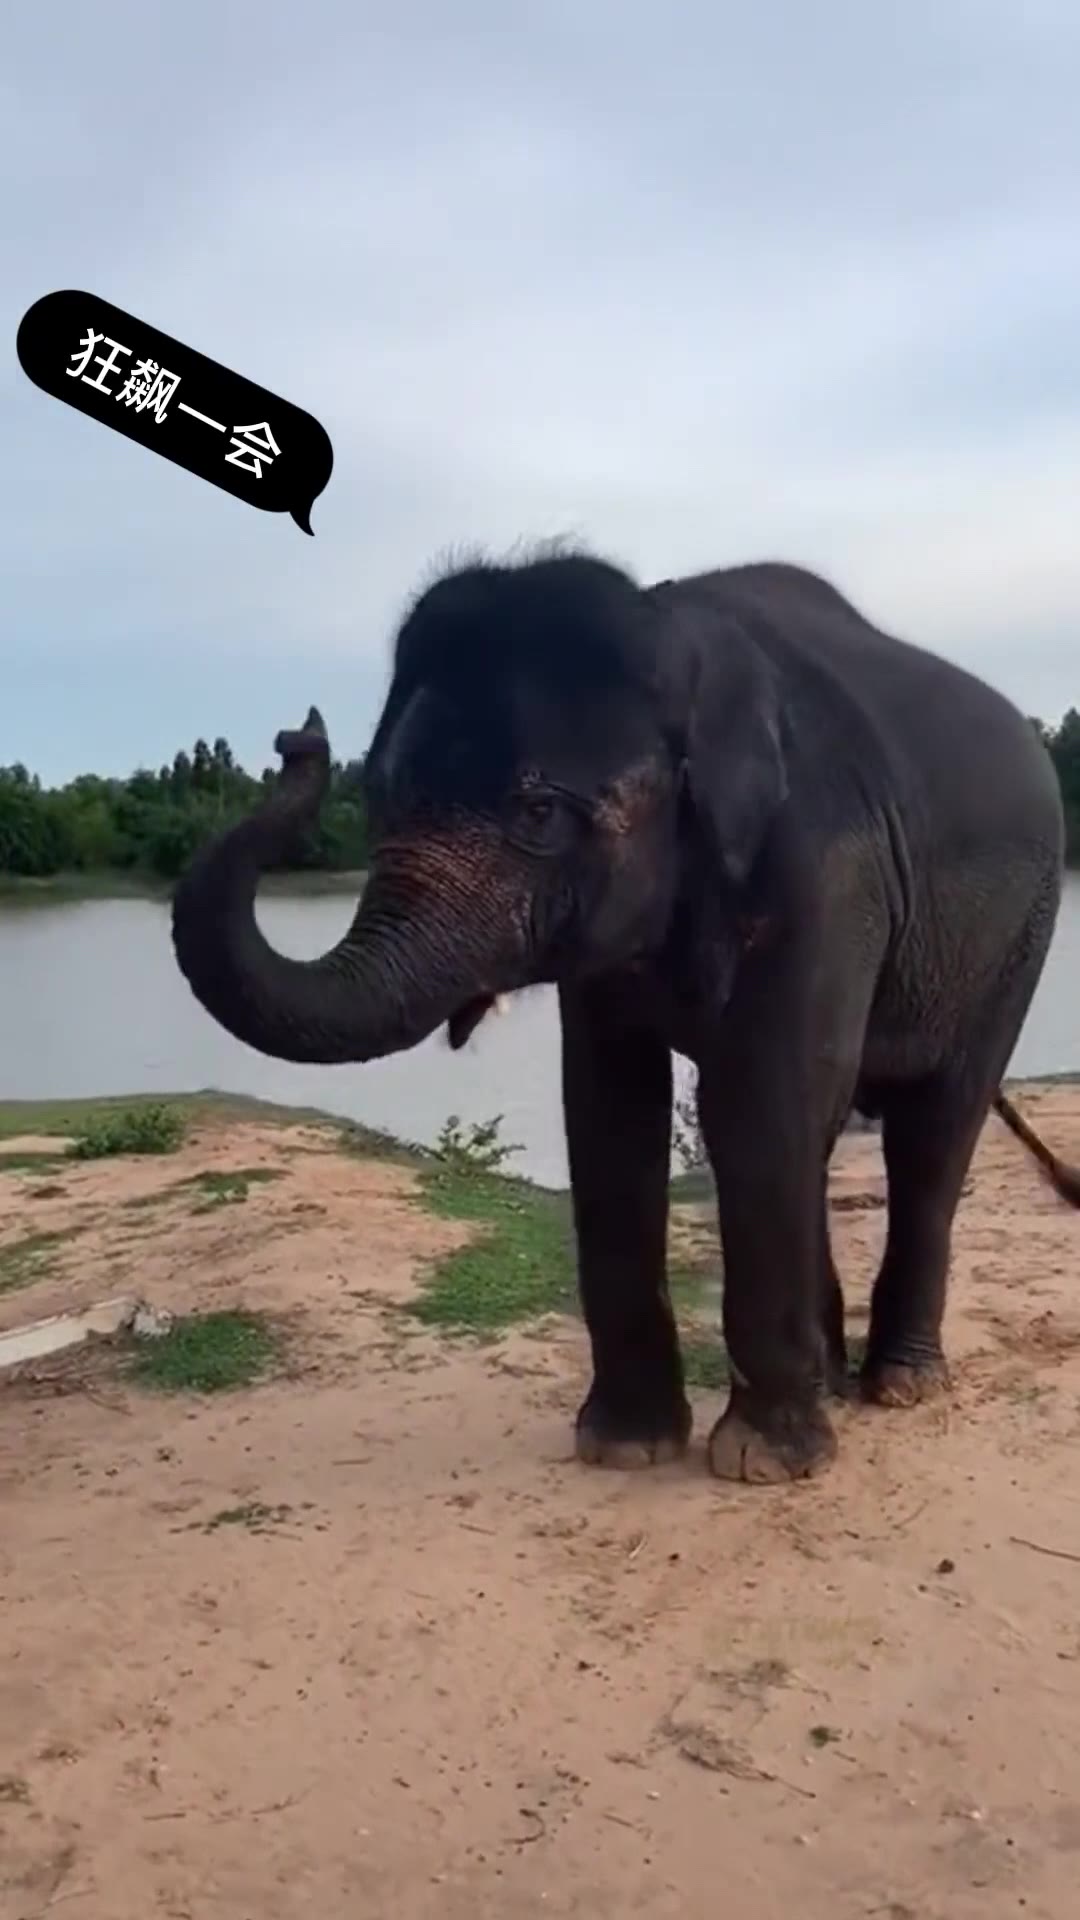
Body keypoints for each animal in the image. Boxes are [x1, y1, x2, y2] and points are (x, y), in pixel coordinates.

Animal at [170, 548, 1080, 1486]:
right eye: (383, 803)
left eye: (538, 811)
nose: (297, 739)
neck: (676, 636)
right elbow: (610, 1108)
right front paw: (626, 1448)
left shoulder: (826, 872)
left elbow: (758, 1105)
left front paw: (760, 1464)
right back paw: (833, 1378)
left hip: (1023, 936)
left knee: (935, 1124)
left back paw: (901, 1385)